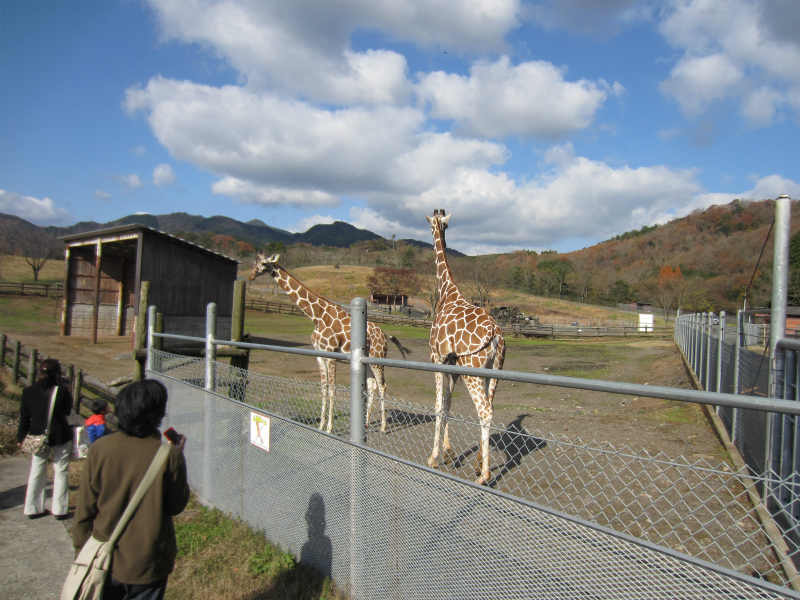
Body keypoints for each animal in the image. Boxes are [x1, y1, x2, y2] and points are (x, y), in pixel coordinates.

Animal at [248, 252, 412, 432]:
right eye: (255, 262)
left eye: (264, 263)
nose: (251, 275)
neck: (317, 316)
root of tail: (384, 335)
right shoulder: (320, 355)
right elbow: (324, 389)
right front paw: (320, 425)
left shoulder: (331, 354)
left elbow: (333, 389)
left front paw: (329, 428)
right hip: (368, 361)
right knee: (372, 386)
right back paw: (367, 423)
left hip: (378, 359)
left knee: (382, 386)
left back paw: (382, 427)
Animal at [424, 209, 506, 486]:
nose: (437, 228)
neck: (447, 292)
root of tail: (495, 334)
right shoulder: (452, 362)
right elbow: (448, 403)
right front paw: (448, 453)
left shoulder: (436, 357)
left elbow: (439, 406)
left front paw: (434, 457)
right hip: (493, 370)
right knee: (489, 408)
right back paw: (480, 464)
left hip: (473, 369)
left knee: (485, 411)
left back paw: (484, 476)